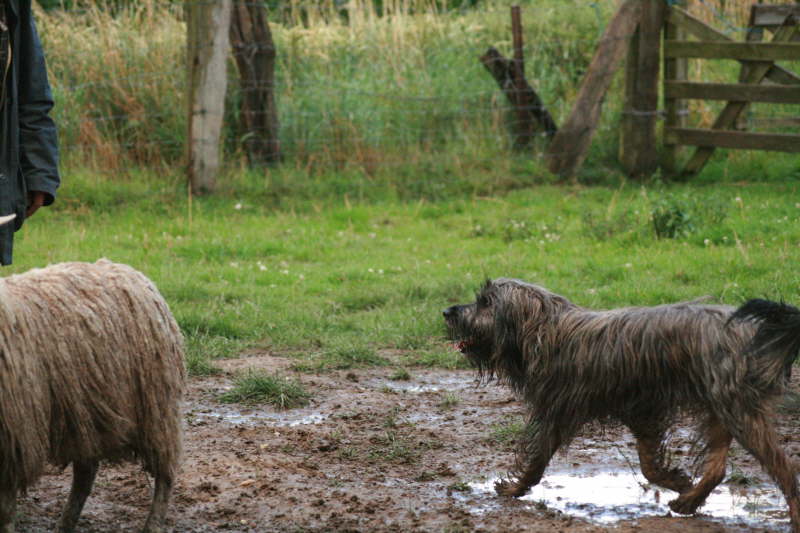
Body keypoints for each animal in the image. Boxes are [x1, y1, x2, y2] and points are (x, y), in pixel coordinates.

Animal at [446, 278, 800, 532]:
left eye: (485, 302)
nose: (447, 312)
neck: (545, 332)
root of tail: (751, 328)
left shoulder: (563, 412)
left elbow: (537, 459)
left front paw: (514, 488)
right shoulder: (642, 411)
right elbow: (648, 463)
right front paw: (678, 482)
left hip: (737, 409)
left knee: (783, 467)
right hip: (720, 406)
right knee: (717, 467)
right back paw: (688, 502)